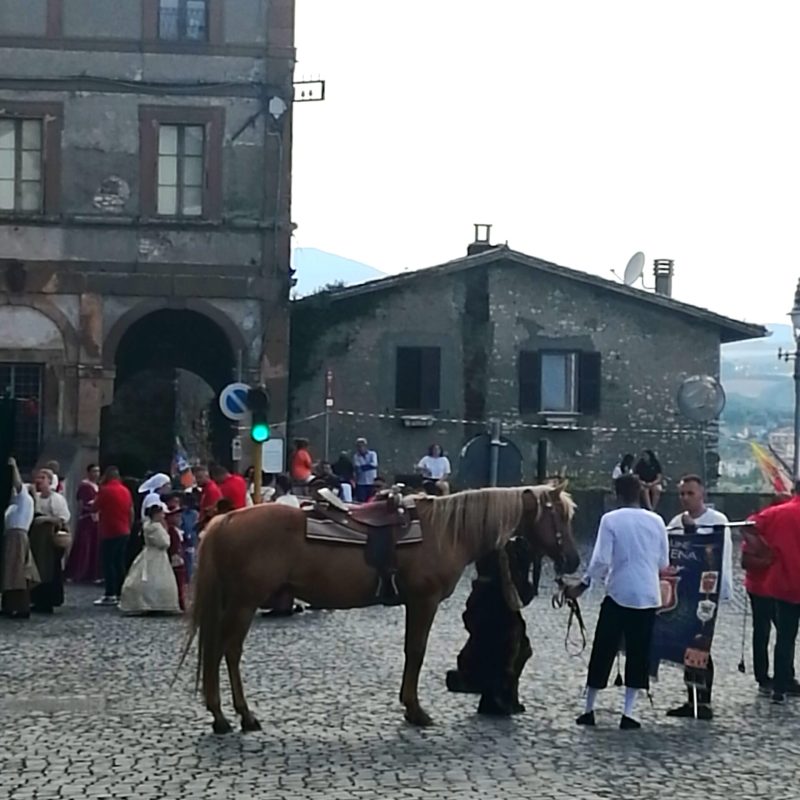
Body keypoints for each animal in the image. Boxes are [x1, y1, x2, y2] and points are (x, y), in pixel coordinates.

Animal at [182, 484, 580, 736]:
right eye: (559, 516)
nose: (574, 560)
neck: (445, 531)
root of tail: (226, 520)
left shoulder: (413, 603)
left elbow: (410, 651)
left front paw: (409, 707)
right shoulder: (423, 601)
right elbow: (416, 651)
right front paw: (416, 710)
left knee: (220, 651)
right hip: (244, 602)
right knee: (227, 651)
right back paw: (234, 716)